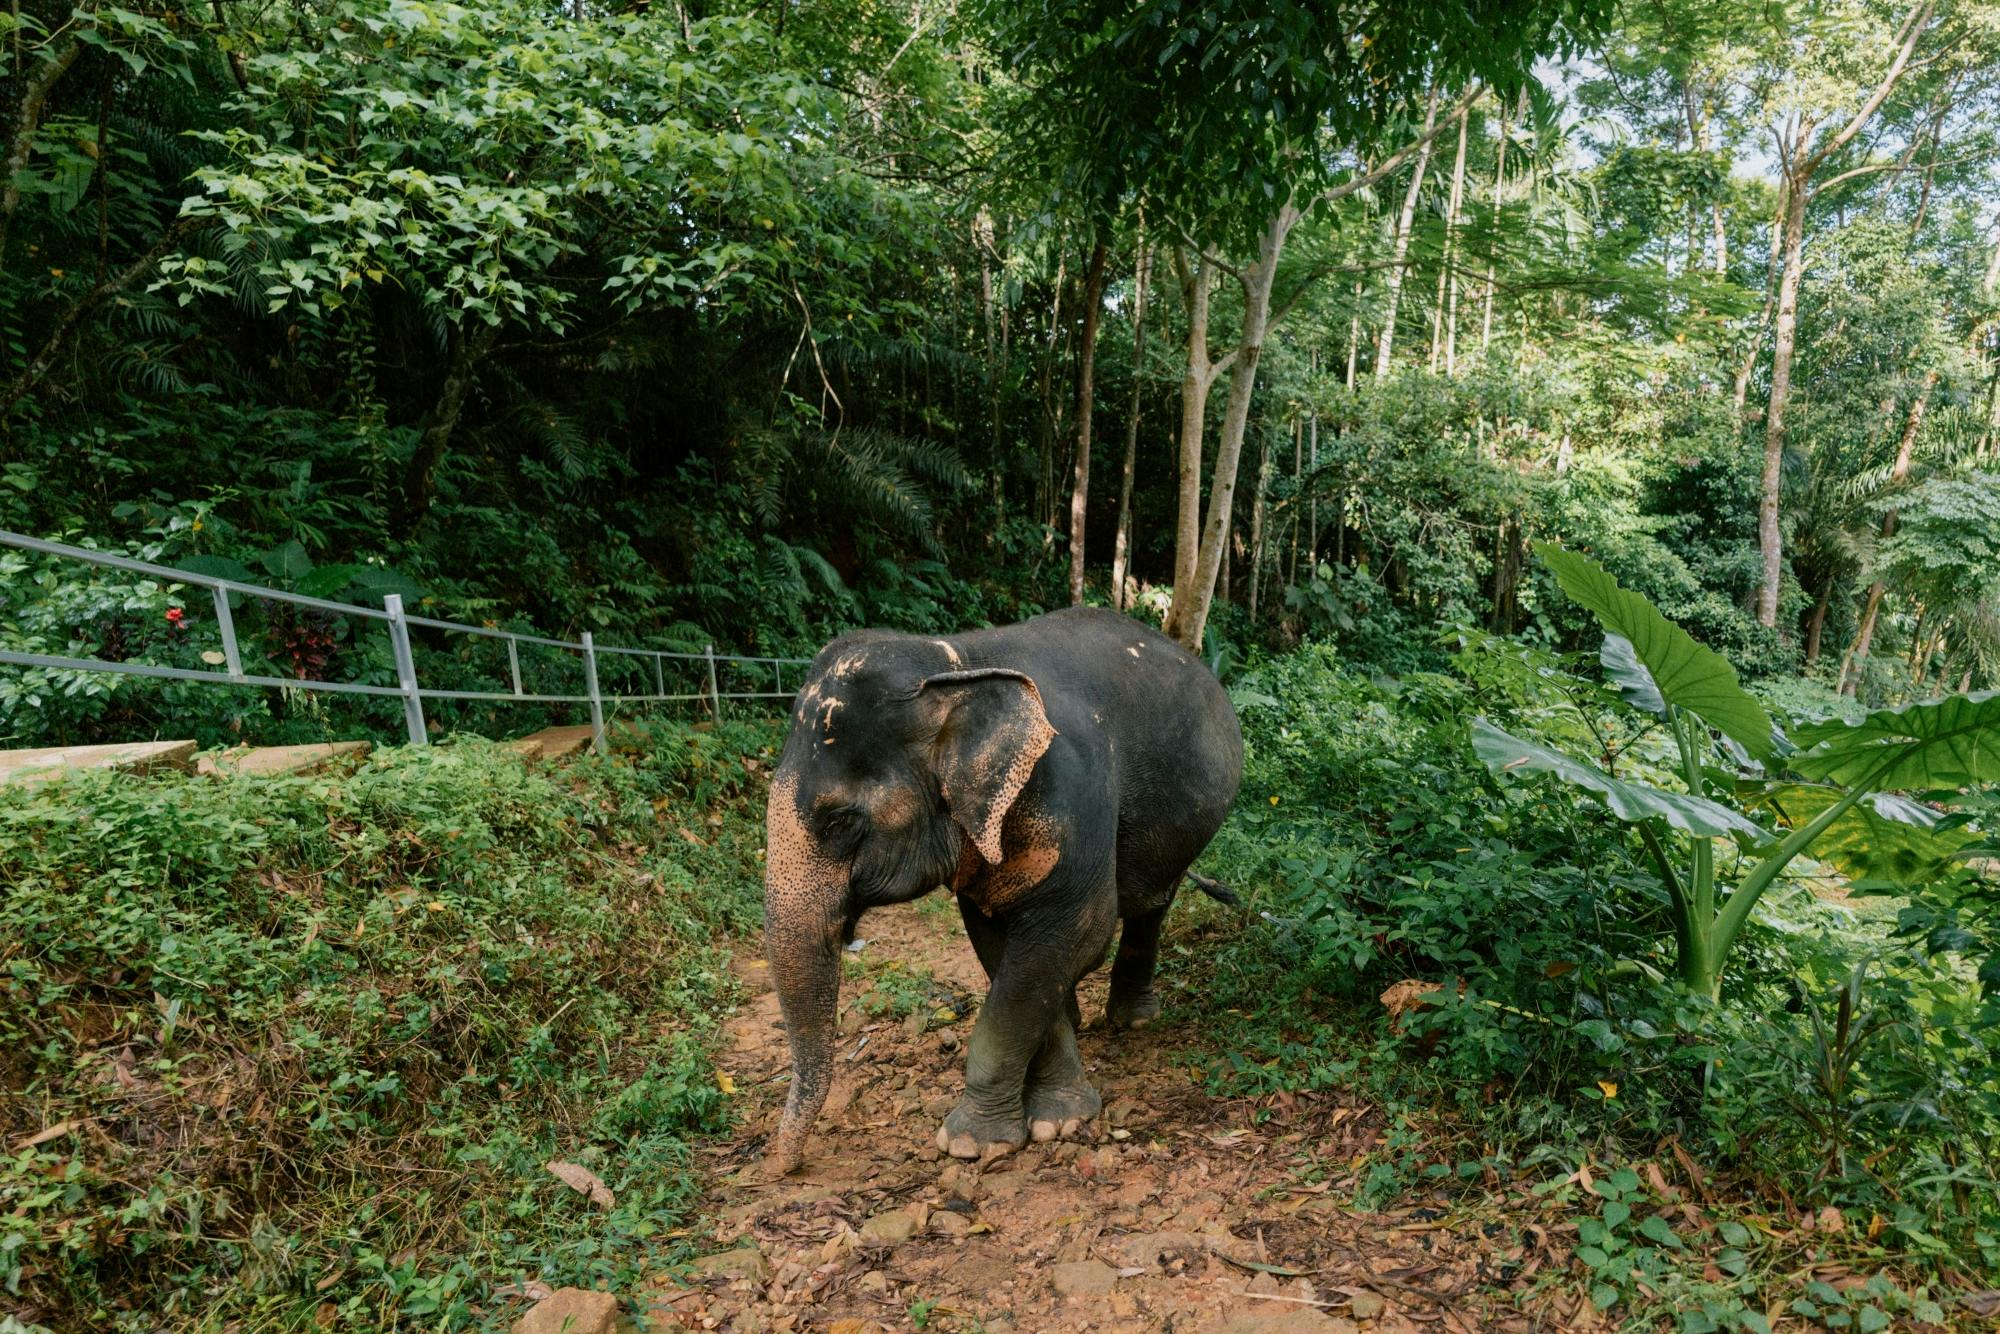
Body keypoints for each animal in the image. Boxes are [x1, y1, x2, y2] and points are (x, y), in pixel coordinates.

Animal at [761, 606, 1243, 1174]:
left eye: (840, 822)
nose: (784, 1166)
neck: (956, 663)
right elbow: (1002, 947)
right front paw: (1055, 1113)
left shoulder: (1071, 794)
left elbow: (1075, 933)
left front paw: (980, 1142)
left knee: (1152, 905)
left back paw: (1134, 1022)